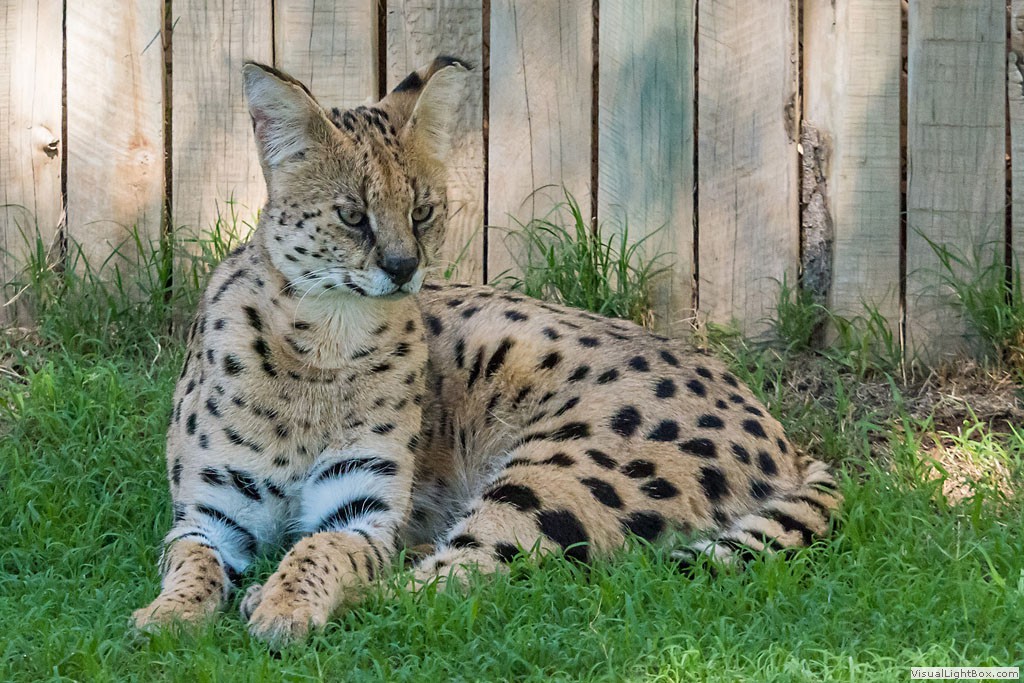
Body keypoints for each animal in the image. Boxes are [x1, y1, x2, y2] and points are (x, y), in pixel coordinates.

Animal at [132, 55, 842, 646]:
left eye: (422, 211)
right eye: (352, 215)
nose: (402, 267)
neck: (326, 341)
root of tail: (788, 441)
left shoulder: (362, 511)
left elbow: (322, 551)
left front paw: (284, 605)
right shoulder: (210, 511)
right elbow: (190, 563)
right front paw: (169, 616)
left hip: (562, 470)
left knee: (451, 579)